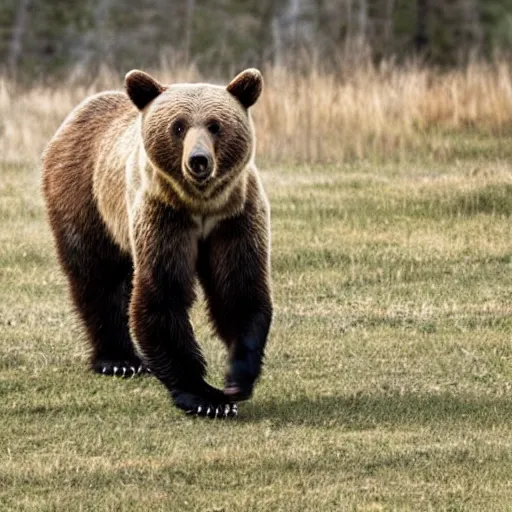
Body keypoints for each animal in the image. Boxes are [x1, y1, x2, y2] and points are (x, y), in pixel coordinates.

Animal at [41, 68, 272, 418]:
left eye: (215, 125)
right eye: (178, 126)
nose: (199, 160)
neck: (201, 205)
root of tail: (77, 113)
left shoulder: (235, 217)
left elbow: (238, 289)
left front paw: (236, 380)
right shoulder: (163, 214)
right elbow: (163, 295)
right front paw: (206, 398)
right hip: (84, 195)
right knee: (98, 275)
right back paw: (118, 360)